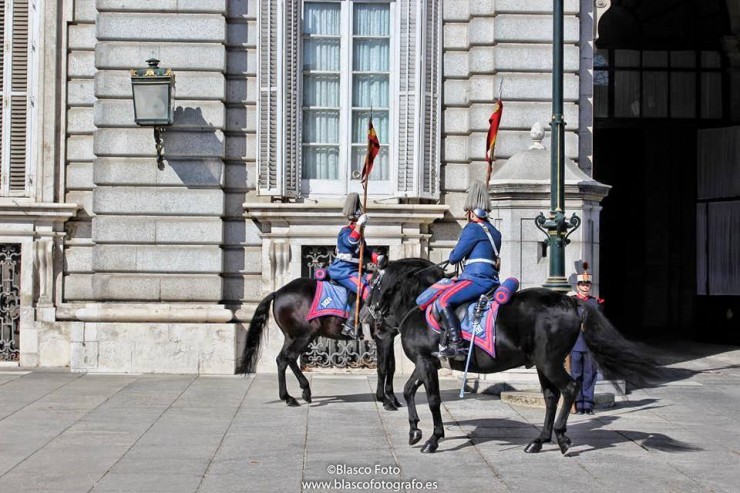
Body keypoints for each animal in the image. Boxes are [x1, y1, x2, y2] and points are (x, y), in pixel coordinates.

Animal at [237, 266, 410, 412]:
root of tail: (277, 292)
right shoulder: (383, 337)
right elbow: (383, 368)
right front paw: (385, 400)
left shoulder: (389, 337)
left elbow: (391, 367)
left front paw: (393, 399)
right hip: (305, 335)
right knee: (290, 357)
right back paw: (305, 391)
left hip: (291, 336)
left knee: (282, 360)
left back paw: (288, 397)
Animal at [368, 258, 660, 454]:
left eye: (374, 284)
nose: (372, 318)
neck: (419, 305)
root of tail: (569, 300)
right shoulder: (426, 362)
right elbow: (408, 391)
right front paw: (414, 430)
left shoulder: (427, 362)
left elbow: (432, 400)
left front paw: (432, 439)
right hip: (543, 365)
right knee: (551, 396)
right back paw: (539, 441)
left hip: (549, 362)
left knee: (569, 388)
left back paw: (562, 437)